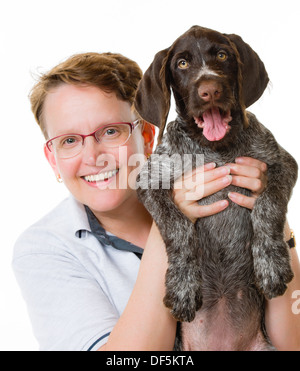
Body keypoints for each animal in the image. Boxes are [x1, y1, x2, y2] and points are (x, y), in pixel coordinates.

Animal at [135, 26, 298, 352]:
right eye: (182, 64)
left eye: (222, 55)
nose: (209, 90)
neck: (216, 148)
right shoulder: (149, 181)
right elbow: (178, 227)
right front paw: (182, 286)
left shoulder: (282, 163)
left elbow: (267, 207)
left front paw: (271, 263)